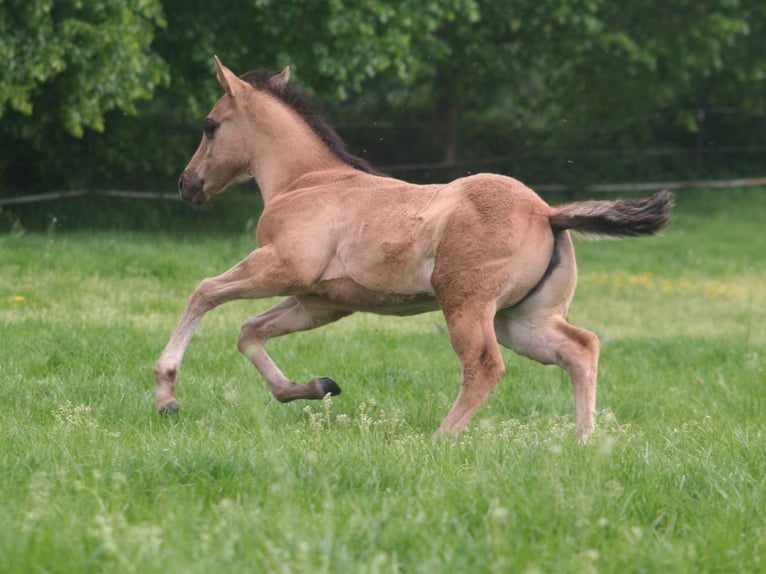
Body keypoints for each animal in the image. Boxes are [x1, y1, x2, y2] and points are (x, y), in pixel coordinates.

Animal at [154, 56, 673, 440]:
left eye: (210, 125)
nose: (186, 184)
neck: (307, 181)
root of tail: (548, 212)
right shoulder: (320, 302)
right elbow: (249, 332)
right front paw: (317, 387)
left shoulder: (283, 267)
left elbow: (204, 292)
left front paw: (167, 395)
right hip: (520, 320)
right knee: (580, 348)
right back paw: (583, 441)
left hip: (466, 304)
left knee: (485, 366)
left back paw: (440, 438)